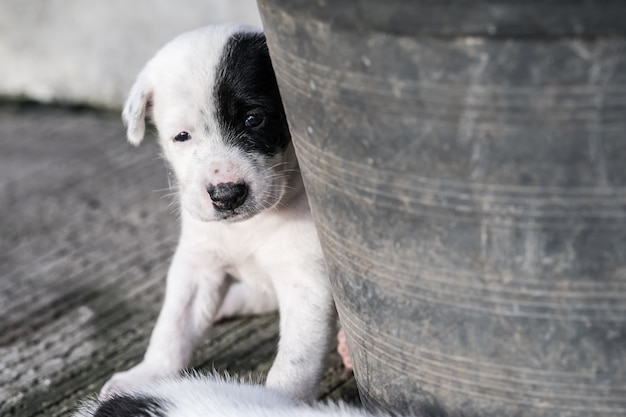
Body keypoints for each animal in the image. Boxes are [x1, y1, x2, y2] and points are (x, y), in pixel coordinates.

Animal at [101, 24, 336, 402]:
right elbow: (172, 327)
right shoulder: (197, 266)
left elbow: (294, 363)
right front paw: (147, 374)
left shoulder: (307, 283)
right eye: (182, 136)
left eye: (254, 119)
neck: (251, 225)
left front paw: (277, 404)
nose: (227, 195)